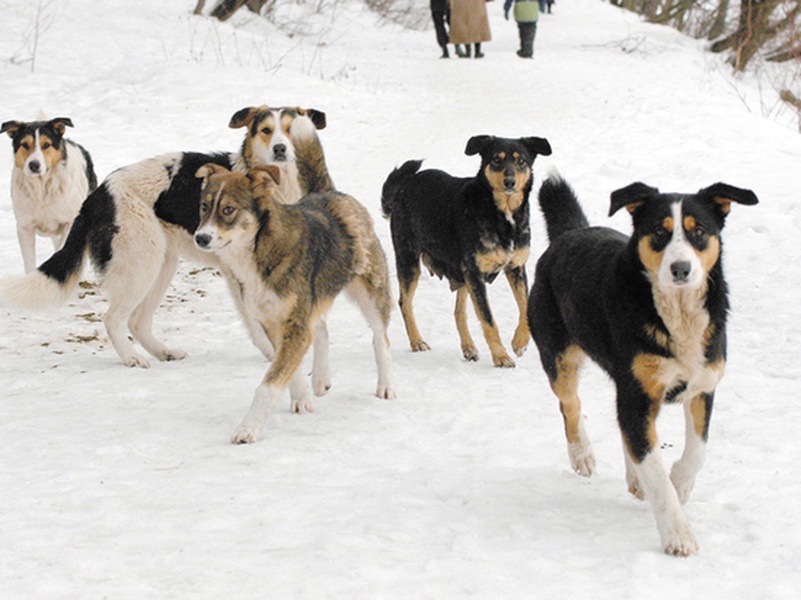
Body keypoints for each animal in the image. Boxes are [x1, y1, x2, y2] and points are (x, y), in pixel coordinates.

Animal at [1, 118, 97, 274]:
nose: (34, 165)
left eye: (46, 145)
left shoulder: (69, 222)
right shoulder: (25, 226)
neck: (42, 188)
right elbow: (29, 262)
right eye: (25, 144)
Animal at [380, 135, 552, 368]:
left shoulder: (515, 267)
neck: (502, 214)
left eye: (521, 161)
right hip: (409, 260)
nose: (510, 182)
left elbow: (524, 307)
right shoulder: (475, 273)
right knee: (404, 302)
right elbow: (488, 320)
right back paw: (417, 341)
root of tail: (403, 187)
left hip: (460, 272)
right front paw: (501, 357)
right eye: (496, 160)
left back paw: (469, 348)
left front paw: (520, 342)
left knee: (458, 312)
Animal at [528, 176, 760, 556]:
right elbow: (655, 472)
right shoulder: (637, 393)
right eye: (659, 231)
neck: (677, 316)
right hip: (558, 353)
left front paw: (680, 483)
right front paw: (677, 534)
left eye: (698, 232)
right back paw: (582, 454)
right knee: (571, 405)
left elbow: (697, 450)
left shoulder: (703, 384)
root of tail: (570, 233)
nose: (681, 269)